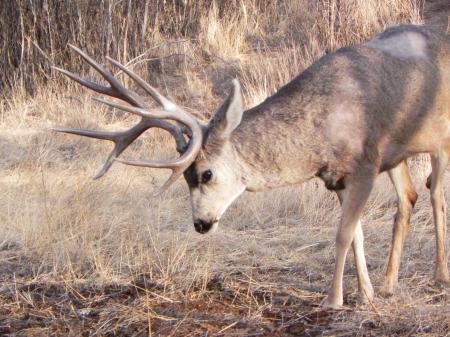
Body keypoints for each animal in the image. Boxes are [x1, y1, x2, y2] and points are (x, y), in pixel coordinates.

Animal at [55, 25, 450, 308]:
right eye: (185, 179)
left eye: (207, 173)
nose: (200, 224)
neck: (321, 128)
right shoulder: (337, 177)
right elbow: (356, 235)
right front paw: (366, 294)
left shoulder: (365, 163)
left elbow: (342, 234)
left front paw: (333, 300)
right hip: (399, 155)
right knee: (409, 198)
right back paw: (389, 285)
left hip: (440, 138)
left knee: (435, 194)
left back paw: (440, 275)